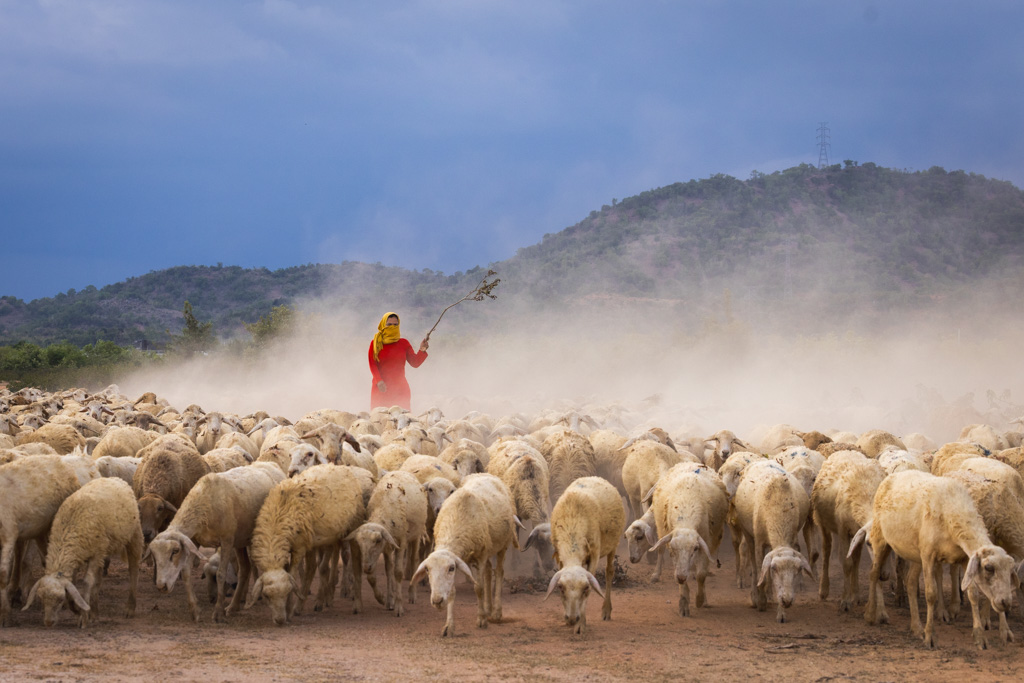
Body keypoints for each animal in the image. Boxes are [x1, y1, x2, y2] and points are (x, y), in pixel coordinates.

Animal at [22, 479, 143, 626]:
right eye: (41, 598)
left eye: (60, 600)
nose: (49, 623)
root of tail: (115, 479)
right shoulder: (79, 556)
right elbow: (74, 584)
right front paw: (78, 609)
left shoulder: (95, 555)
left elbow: (87, 582)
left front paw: (83, 617)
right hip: (104, 549)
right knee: (99, 579)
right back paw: (95, 612)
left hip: (134, 534)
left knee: (133, 569)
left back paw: (130, 607)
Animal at [409, 473, 520, 638]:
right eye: (427, 570)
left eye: (450, 568)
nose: (437, 601)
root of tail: (485, 474)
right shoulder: (464, 559)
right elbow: (452, 592)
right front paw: (449, 626)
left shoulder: (479, 557)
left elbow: (478, 588)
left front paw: (481, 620)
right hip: (488, 547)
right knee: (488, 571)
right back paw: (487, 608)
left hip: (503, 544)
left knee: (499, 572)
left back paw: (495, 612)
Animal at [647, 464, 729, 618]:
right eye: (673, 549)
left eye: (695, 548)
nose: (680, 578)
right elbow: (682, 575)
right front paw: (684, 604)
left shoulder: (705, 543)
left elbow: (701, 574)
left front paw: (700, 599)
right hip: (661, 527)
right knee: (660, 551)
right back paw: (656, 574)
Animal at [860, 471, 1019, 651]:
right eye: (989, 568)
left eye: (1010, 570)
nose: (1005, 603)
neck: (954, 510)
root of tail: (895, 474)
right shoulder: (928, 556)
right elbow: (931, 594)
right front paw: (930, 636)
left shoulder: (964, 558)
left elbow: (973, 594)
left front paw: (979, 636)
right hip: (880, 539)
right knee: (873, 574)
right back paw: (871, 614)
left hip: (915, 553)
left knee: (911, 582)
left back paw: (916, 627)